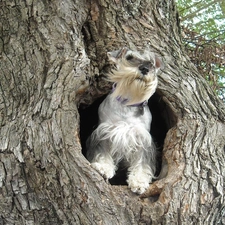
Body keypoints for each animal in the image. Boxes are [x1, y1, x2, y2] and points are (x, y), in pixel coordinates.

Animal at [85, 47, 162, 193]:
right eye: (130, 57)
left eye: (151, 62)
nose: (145, 68)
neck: (128, 102)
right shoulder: (104, 132)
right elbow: (102, 152)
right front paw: (104, 167)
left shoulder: (142, 138)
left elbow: (142, 162)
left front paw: (139, 181)